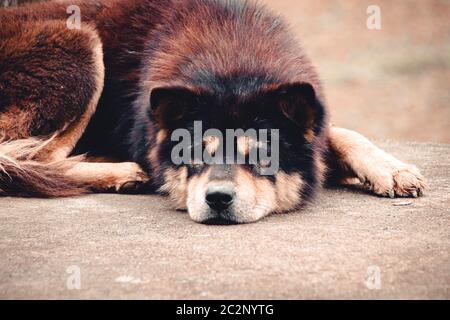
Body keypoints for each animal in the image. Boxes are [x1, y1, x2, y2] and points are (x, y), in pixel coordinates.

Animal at [0, 0, 426, 224]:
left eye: (262, 157)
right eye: (192, 154)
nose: (218, 199)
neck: (232, 63)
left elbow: (338, 133)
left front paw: (390, 169)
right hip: (80, 51)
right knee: (32, 158)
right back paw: (120, 172)